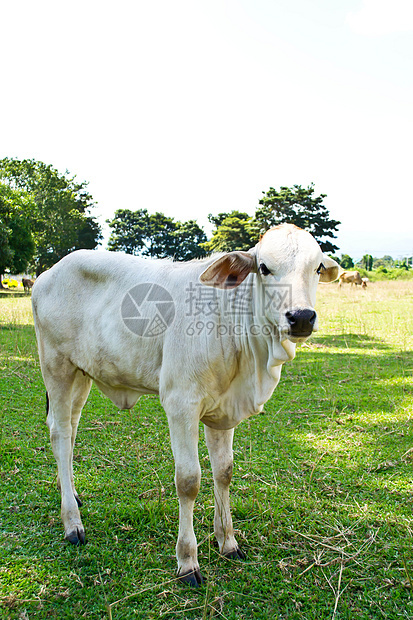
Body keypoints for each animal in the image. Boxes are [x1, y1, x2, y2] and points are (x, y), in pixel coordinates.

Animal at [32, 224, 338, 588]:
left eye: (317, 267)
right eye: (264, 267)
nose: (302, 317)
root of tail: (48, 272)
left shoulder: (222, 413)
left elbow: (224, 472)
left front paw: (228, 541)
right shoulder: (181, 405)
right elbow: (189, 481)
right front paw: (187, 560)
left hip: (82, 375)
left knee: (72, 429)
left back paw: (71, 493)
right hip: (56, 368)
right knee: (60, 435)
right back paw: (72, 522)